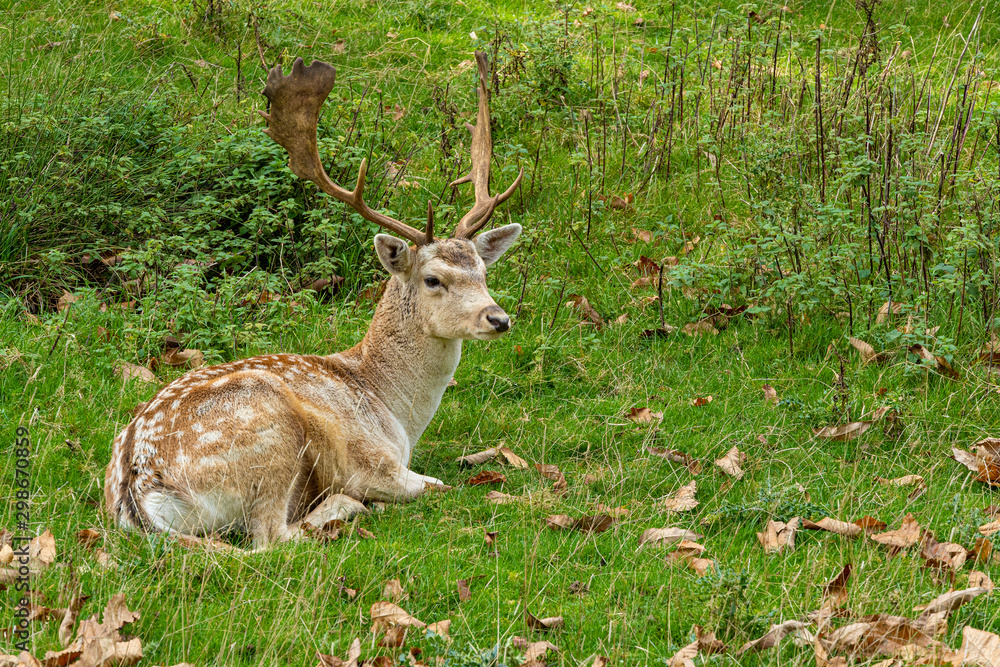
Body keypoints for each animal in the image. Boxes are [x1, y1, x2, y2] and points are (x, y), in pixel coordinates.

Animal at [104, 51, 524, 549]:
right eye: (433, 279)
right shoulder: (372, 461)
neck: (394, 408)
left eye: (483, 271)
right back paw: (343, 507)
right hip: (272, 438)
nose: (498, 318)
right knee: (270, 537)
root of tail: (139, 492)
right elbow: (438, 485)